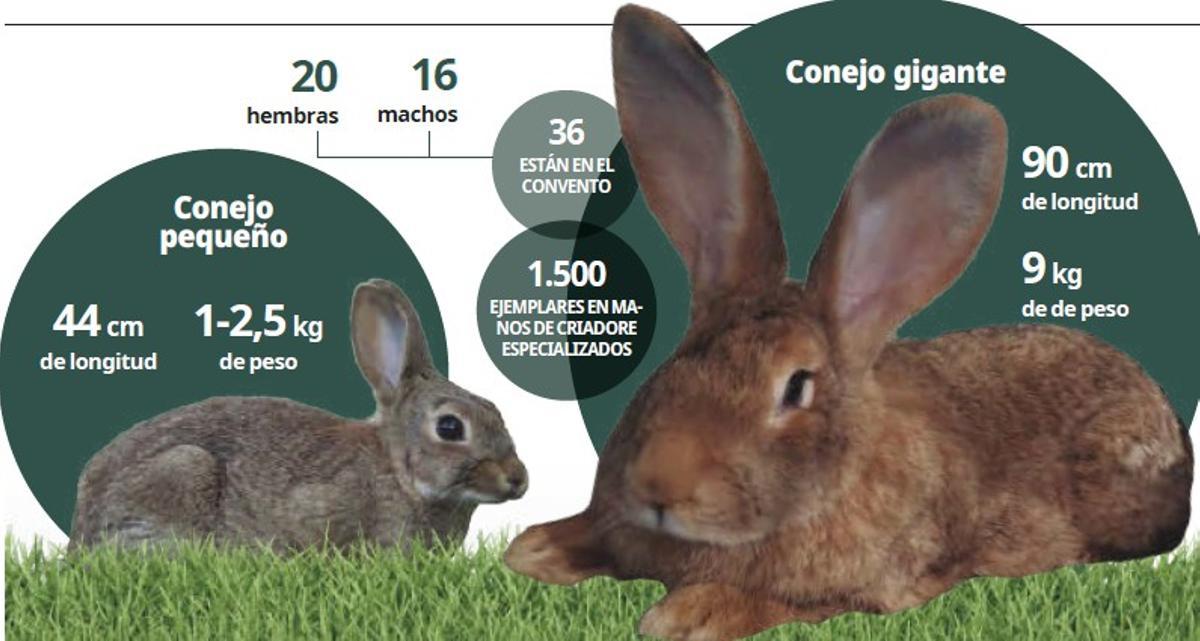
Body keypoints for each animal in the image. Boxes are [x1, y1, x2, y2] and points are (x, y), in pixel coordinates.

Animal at [504, 6, 1194, 640]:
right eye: (676, 360)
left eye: (796, 387)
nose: (659, 487)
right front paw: (536, 548)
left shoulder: (876, 584)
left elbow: (779, 600)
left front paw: (687, 614)